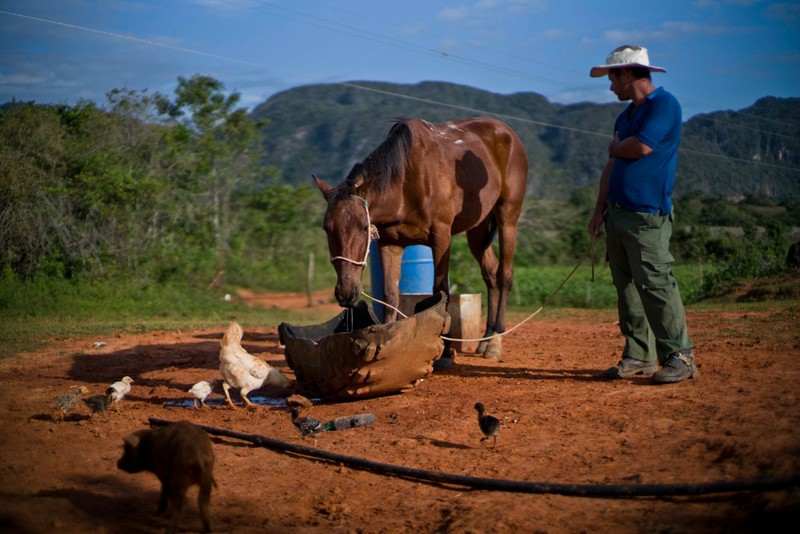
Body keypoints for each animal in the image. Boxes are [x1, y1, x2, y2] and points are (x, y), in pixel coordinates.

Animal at [314, 118, 532, 360]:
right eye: (326, 228)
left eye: (363, 228)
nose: (346, 292)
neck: (407, 181)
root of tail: (507, 133)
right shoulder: (390, 244)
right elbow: (390, 296)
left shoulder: (441, 237)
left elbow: (441, 291)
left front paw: (444, 350)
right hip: (478, 229)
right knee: (491, 274)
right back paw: (485, 339)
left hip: (508, 216)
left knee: (504, 275)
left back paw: (495, 341)